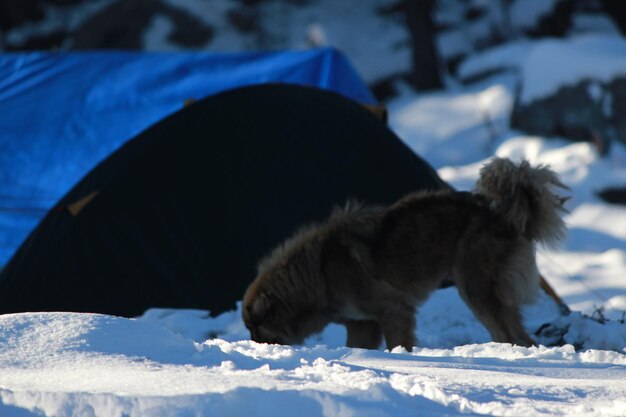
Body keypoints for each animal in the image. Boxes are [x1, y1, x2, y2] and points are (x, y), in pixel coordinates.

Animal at [241, 158, 568, 350]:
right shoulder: (362, 325)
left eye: (256, 327)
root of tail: (506, 216)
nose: (255, 346)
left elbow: (398, 344)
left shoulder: (393, 309)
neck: (319, 270)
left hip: (477, 290)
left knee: (516, 338)